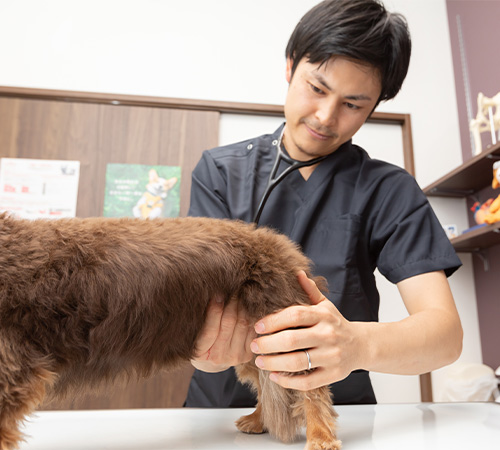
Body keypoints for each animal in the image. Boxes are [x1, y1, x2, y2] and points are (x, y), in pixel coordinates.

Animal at [0, 213, 340, 448]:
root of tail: (283, 247)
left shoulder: (12, 368)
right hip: (258, 338)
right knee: (266, 376)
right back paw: (259, 419)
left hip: (282, 327)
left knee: (310, 388)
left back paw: (321, 436)